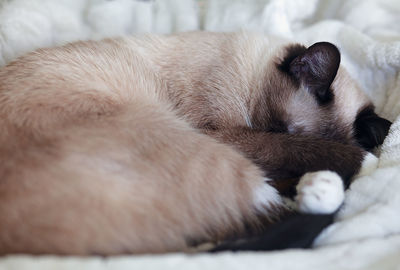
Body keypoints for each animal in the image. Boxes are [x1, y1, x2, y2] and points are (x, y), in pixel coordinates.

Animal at [0, 31, 390, 255]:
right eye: (279, 129)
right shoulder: (226, 135)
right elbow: (302, 155)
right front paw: (363, 161)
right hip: (206, 152)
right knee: (261, 217)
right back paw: (321, 189)